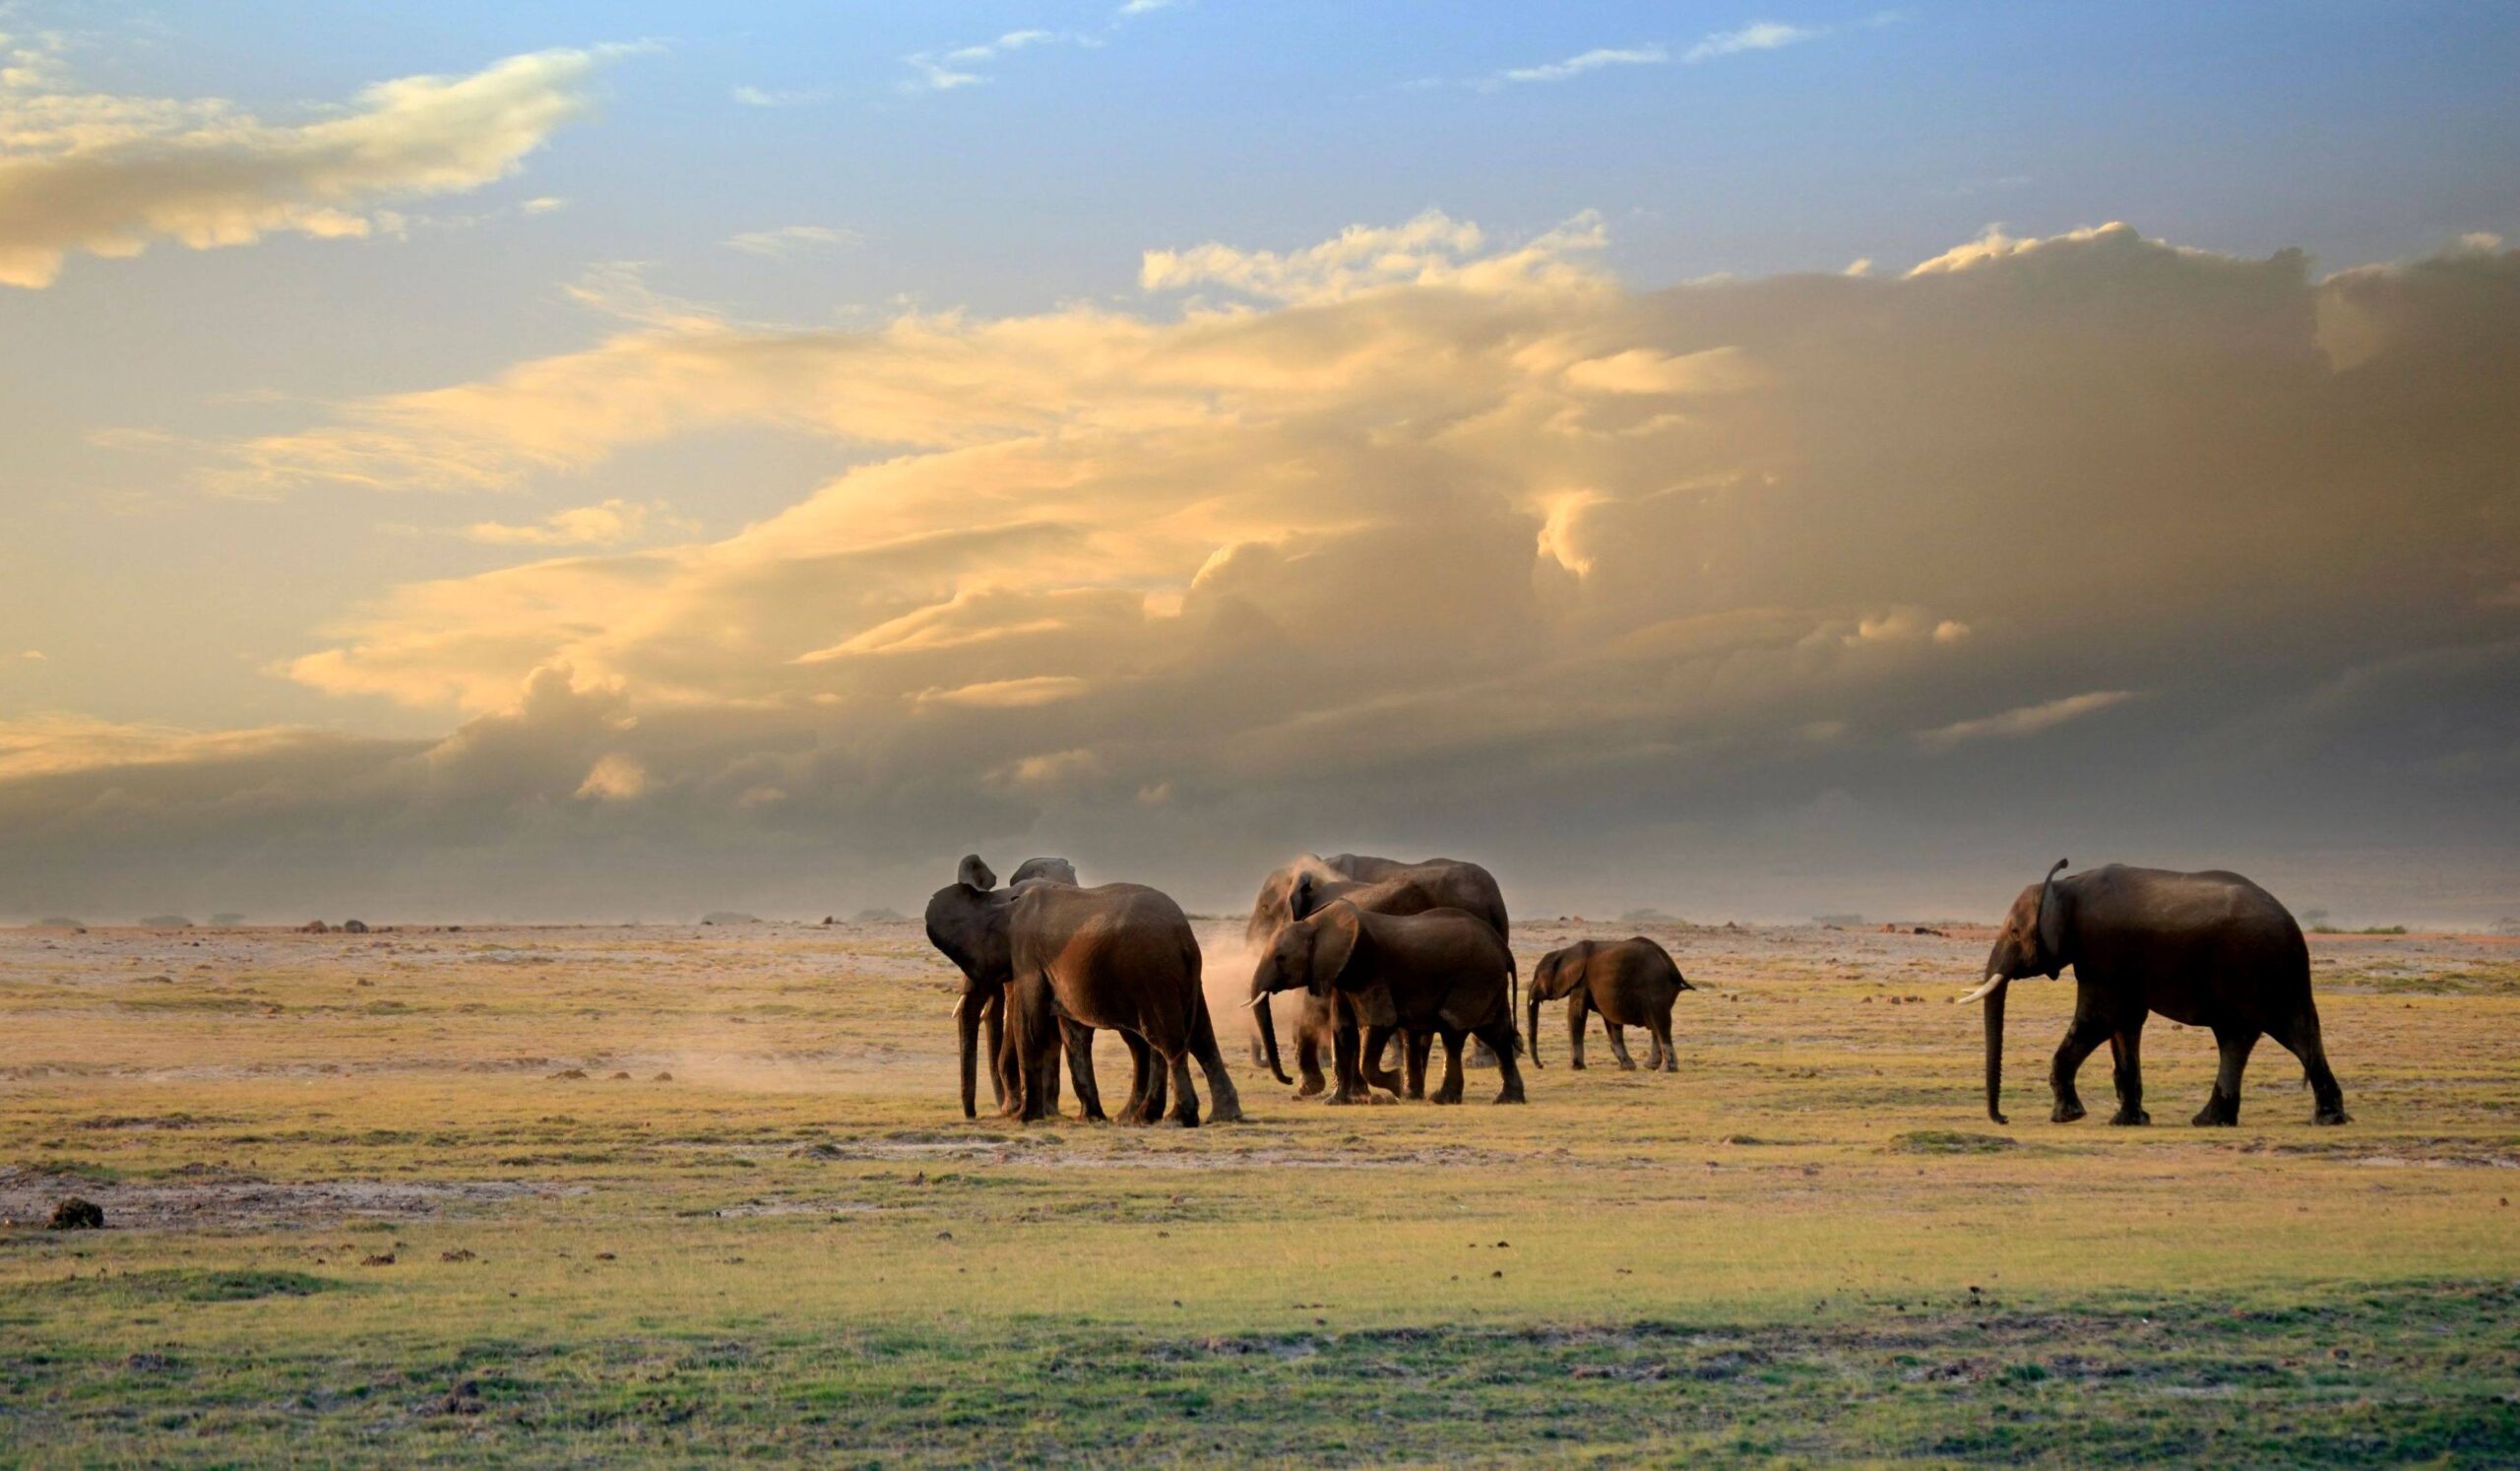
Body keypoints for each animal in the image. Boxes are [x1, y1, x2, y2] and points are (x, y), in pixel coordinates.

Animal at [927, 851, 1239, 1128]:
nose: (972, 1116)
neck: (1004, 902)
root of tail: (1184, 936)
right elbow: (1072, 1032)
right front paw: (1090, 1117)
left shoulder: (1027, 955)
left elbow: (1028, 1025)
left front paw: (1024, 1119)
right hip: (1182, 977)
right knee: (1198, 1037)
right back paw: (1210, 1116)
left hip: (1153, 973)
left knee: (1165, 1041)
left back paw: (1173, 1118)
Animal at [1512, 936, 1693, 1072]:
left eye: (1538, 977)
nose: (1541, 1066)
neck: (1565, 951)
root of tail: (1670, 965)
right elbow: (1611, 1023)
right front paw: (1627, 1067)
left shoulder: (1581, 982)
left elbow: (1576, 1015)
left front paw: (1574, 1067)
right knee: (1656, 1026)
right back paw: (1651, 1066)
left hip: (1654, 985)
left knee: (1660, 1024)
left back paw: (1665, 1070)